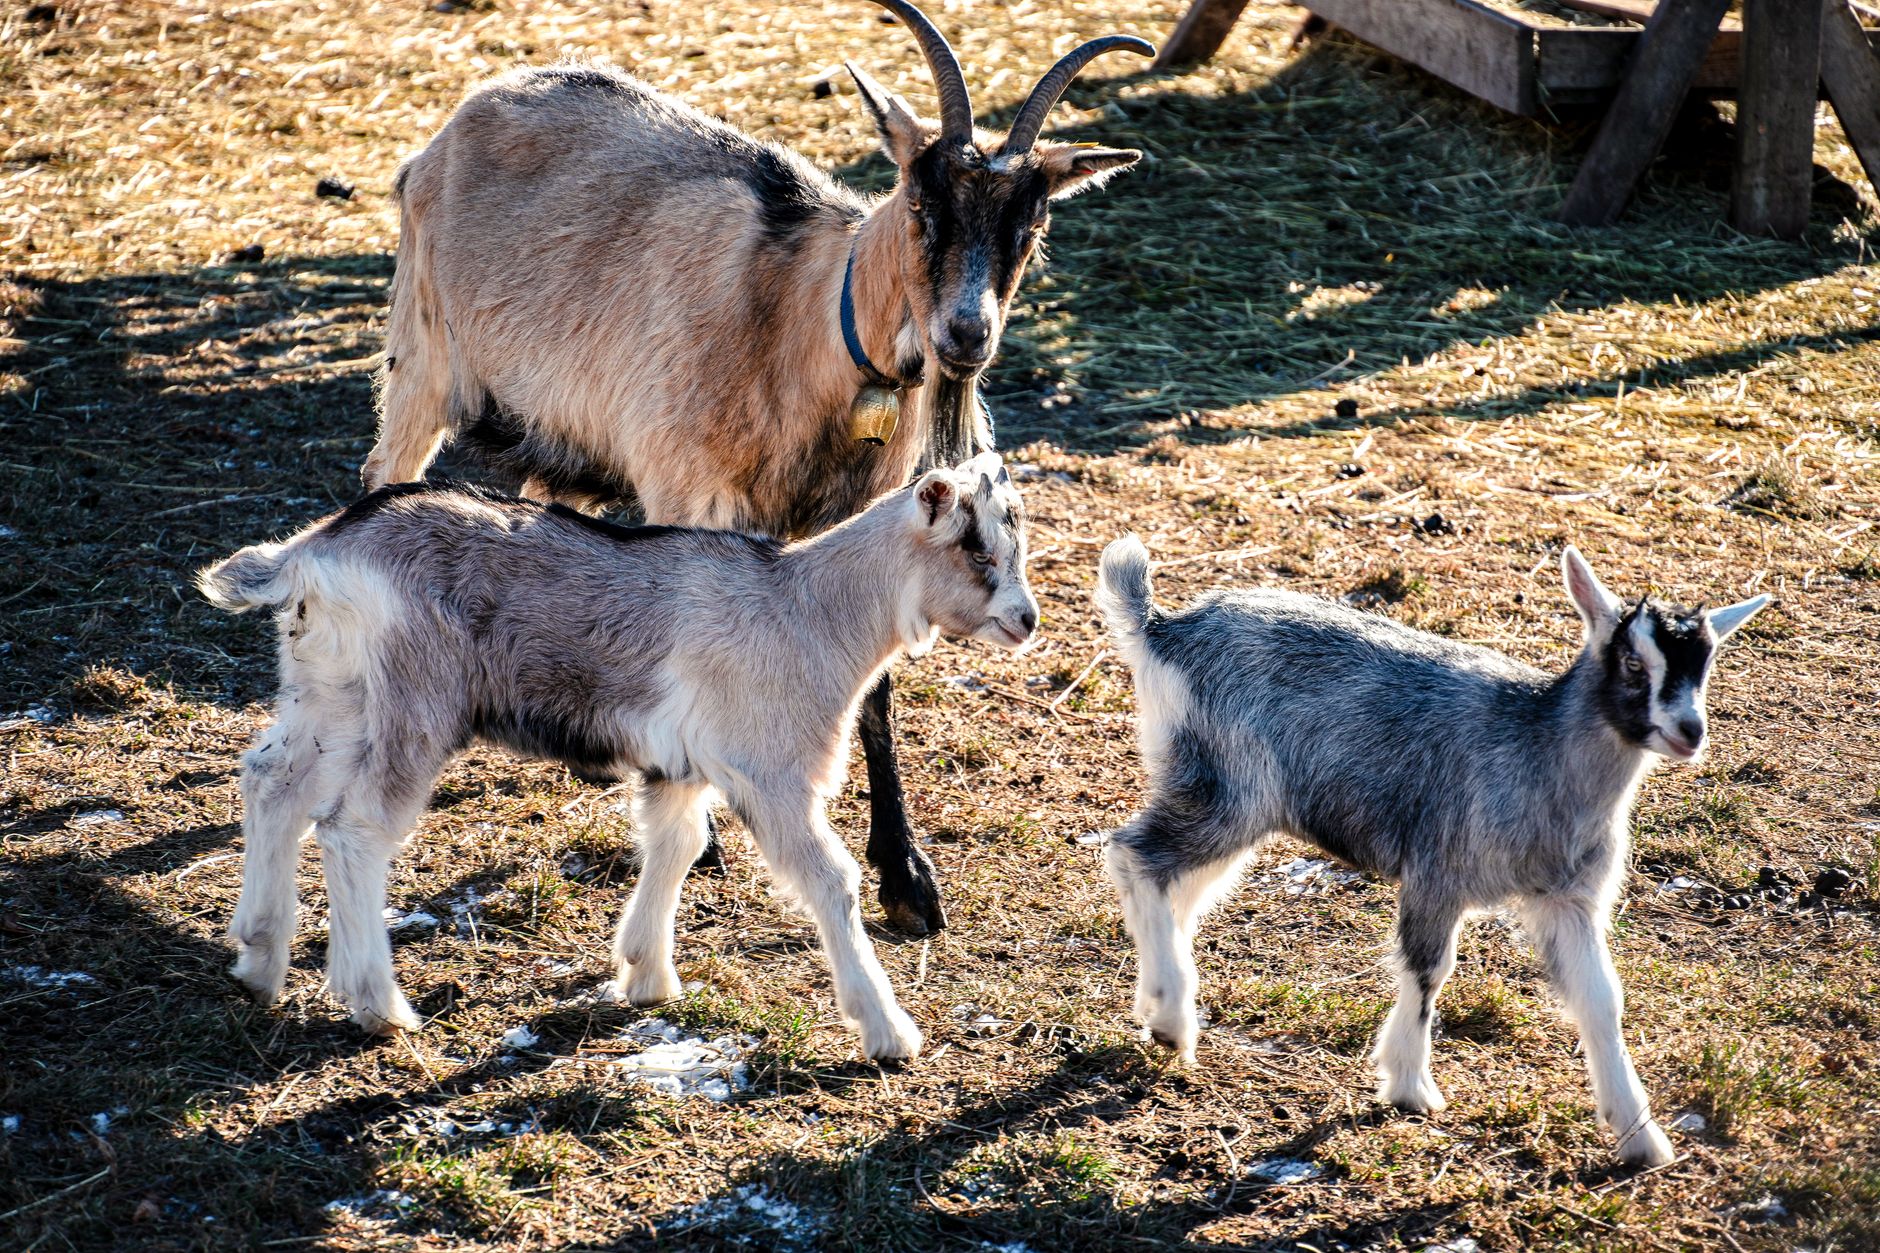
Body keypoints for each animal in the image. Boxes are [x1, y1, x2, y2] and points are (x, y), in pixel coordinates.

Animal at [197, 453, 1035, 1059]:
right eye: (977, 548)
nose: (1026, 619)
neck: (808, 608)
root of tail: (319, 549)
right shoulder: (771, 771)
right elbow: (833, 881)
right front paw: (889, 1031)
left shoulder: (682, 767)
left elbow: (676, 844)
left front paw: (647, 976)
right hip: (410, 703)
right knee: (355, 829)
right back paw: (378, 1004)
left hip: (331, 692)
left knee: (271, 781)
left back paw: (259, 958)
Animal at [361, 0, 1151, 937]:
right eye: (922, 199)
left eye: (1029, 226)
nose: (967, 335)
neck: (800, 320)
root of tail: (463, 119)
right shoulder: (687, 488)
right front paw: (700, 837)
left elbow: (875, 686)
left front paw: (907, 877)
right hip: (423, 357)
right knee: (384, 473)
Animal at [1096, 537, 1766, 1166]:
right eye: (1632, 662)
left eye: (1707, 664)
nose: (1689, 732)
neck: (1539, 747)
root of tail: (1164, 629)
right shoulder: (1437, 871)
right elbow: (1429, 970)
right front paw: (1410, 1086)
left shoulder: (1568, 899)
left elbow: (1602, 1001)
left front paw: (1640, 1138)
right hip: (1230, 790)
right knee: (1132, 852)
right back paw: (1173, 1018)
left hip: (1218, 792)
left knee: (1174, 886)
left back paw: (1158, 1000)